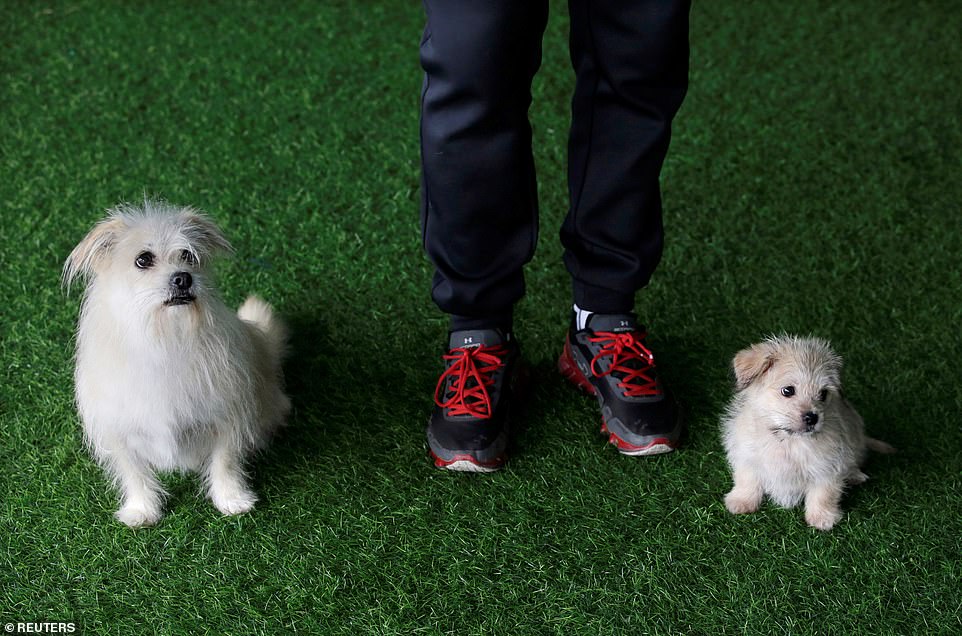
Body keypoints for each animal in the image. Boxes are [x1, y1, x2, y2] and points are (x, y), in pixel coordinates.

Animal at [63, 200, 288, 528]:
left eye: (188, 256)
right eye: (143, 260)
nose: (183, 277)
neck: (166, 336)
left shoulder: (228, 414)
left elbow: (225, 461)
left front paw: (231, 499)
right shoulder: (117, 429)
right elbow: (134, 472)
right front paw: (142, 508)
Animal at [720, 336, 892, 528]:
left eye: (823, 394)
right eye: (788, 390)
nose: (812, 417)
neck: (787, 440)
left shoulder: (828, 468)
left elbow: (824, 494)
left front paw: (822, 517)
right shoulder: (747, 457)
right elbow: (747, 480)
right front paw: (742, 501)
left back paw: (854, 475)